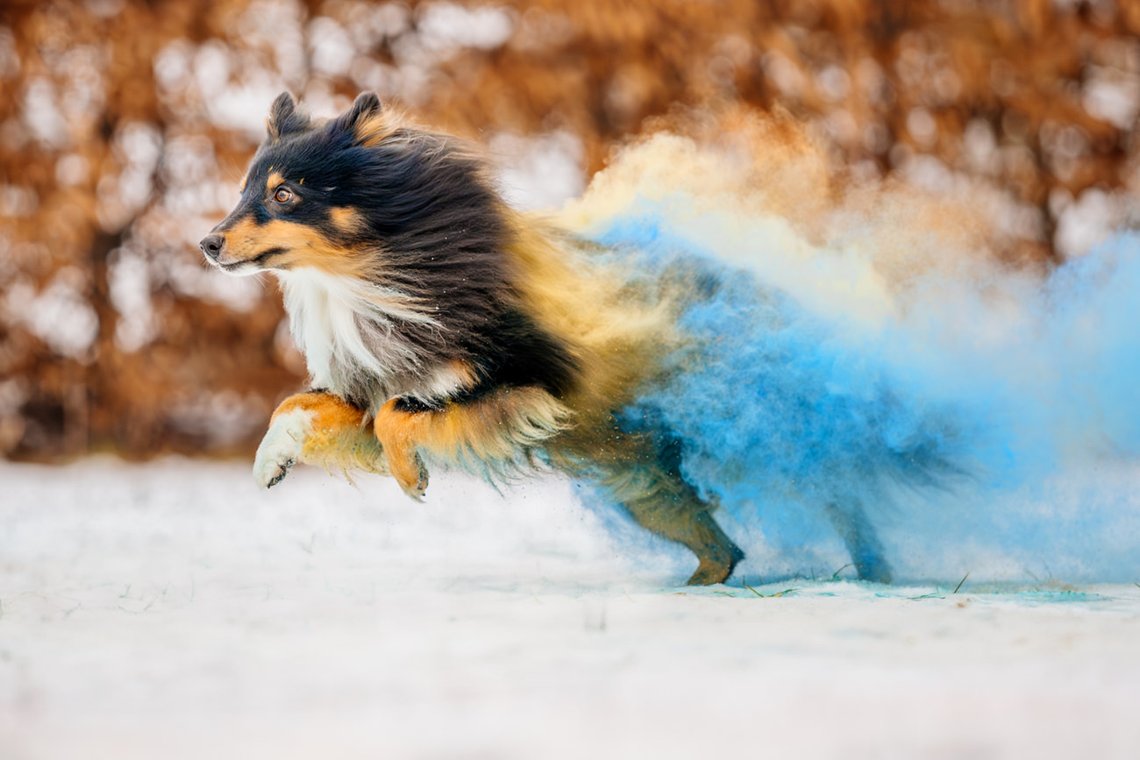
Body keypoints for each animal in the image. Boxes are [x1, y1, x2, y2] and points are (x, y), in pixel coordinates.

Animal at [202, 92, 898, 587]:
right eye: (243, 190)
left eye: (284, 193)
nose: (207, 243)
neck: (376, 276)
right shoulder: (375, 386)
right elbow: (299, 405)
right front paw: (270, 464)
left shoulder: (527, 381)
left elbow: (402, 418)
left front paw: (410, 478)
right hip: (646, 485)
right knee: (726, 550)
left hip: (749, 438)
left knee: (838, 490)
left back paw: (873, 567)